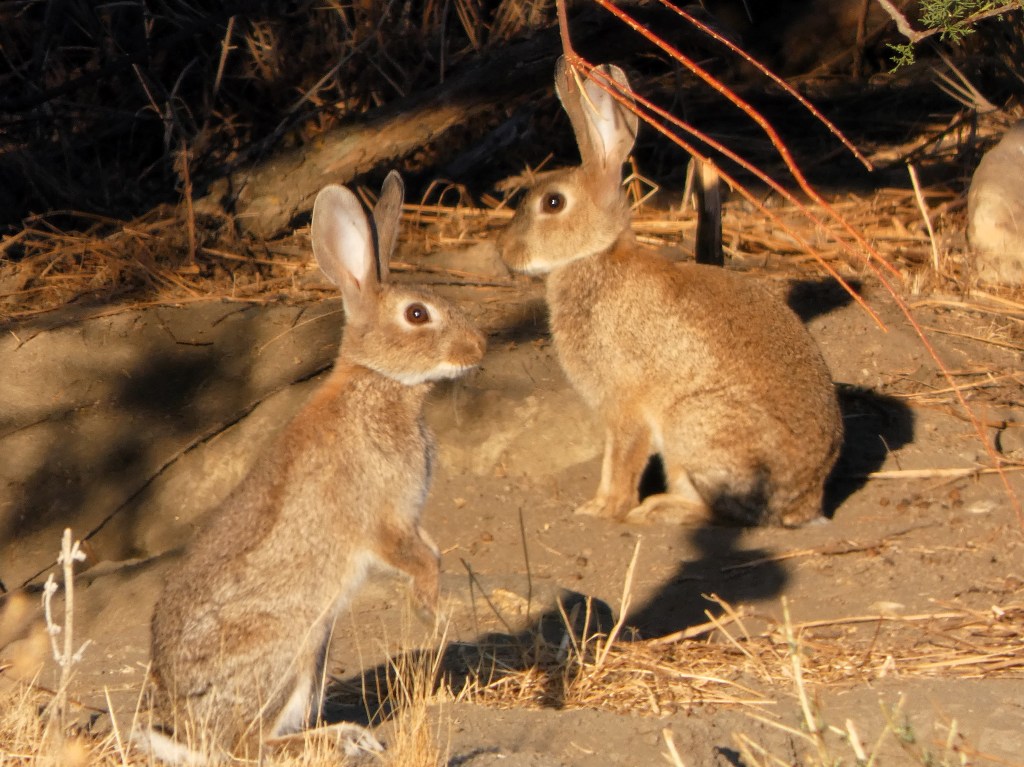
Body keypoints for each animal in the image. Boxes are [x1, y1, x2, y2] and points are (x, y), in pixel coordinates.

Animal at [138, 170, 486, 764]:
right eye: (418, 314)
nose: (479, 347)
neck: (381, 382)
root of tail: (190, 728)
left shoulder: (409, 519)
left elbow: (432, 550)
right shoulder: (380, 517)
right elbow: (415, 559)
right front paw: (428, 609)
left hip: (317, 646)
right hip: (288, 646)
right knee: (248, 746)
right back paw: (346, 739)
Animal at [498, 57, 842, 527]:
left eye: (553, 203)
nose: (505, 253)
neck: (598, 256)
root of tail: (803, 502)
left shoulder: (625, 404)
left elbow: (622, 459)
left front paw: (602, 509)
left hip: (692, 428)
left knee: (714, 510)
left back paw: (657, 509)